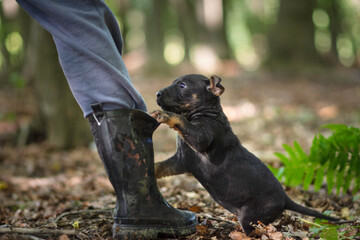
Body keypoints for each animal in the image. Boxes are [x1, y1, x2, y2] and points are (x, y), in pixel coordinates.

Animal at [150, 74, 342, 234]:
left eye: (182, 85)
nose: (157, 94)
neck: (204, 112)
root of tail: (285, 199)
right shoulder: (181, 161)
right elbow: (160, 166)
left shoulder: (201, 138)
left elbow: (181, 120)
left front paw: (165, 115)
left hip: (251, 216)